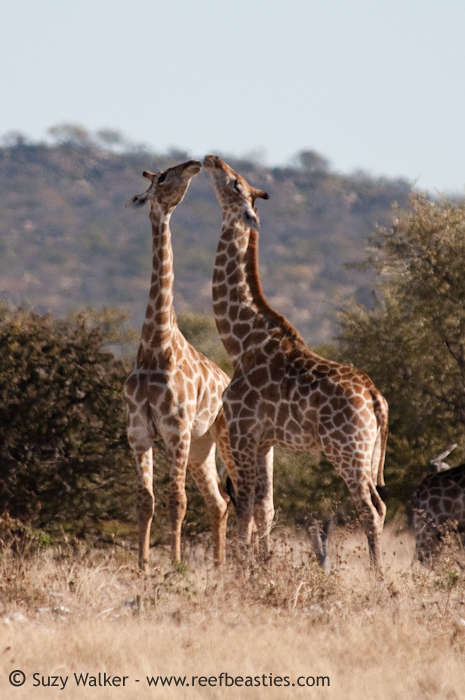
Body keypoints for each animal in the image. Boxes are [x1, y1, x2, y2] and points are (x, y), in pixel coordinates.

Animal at [123, 161, 236, 572]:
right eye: (161, 177)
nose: (193, 164)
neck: (155, 348)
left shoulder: (176, 430)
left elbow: (177, 501)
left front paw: (174, 564)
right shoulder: (138, 430)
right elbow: (146, 501)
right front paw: (142, 565)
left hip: (223, 439)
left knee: (245, 498)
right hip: (203, 447)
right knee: (219, 503)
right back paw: (220, 567)